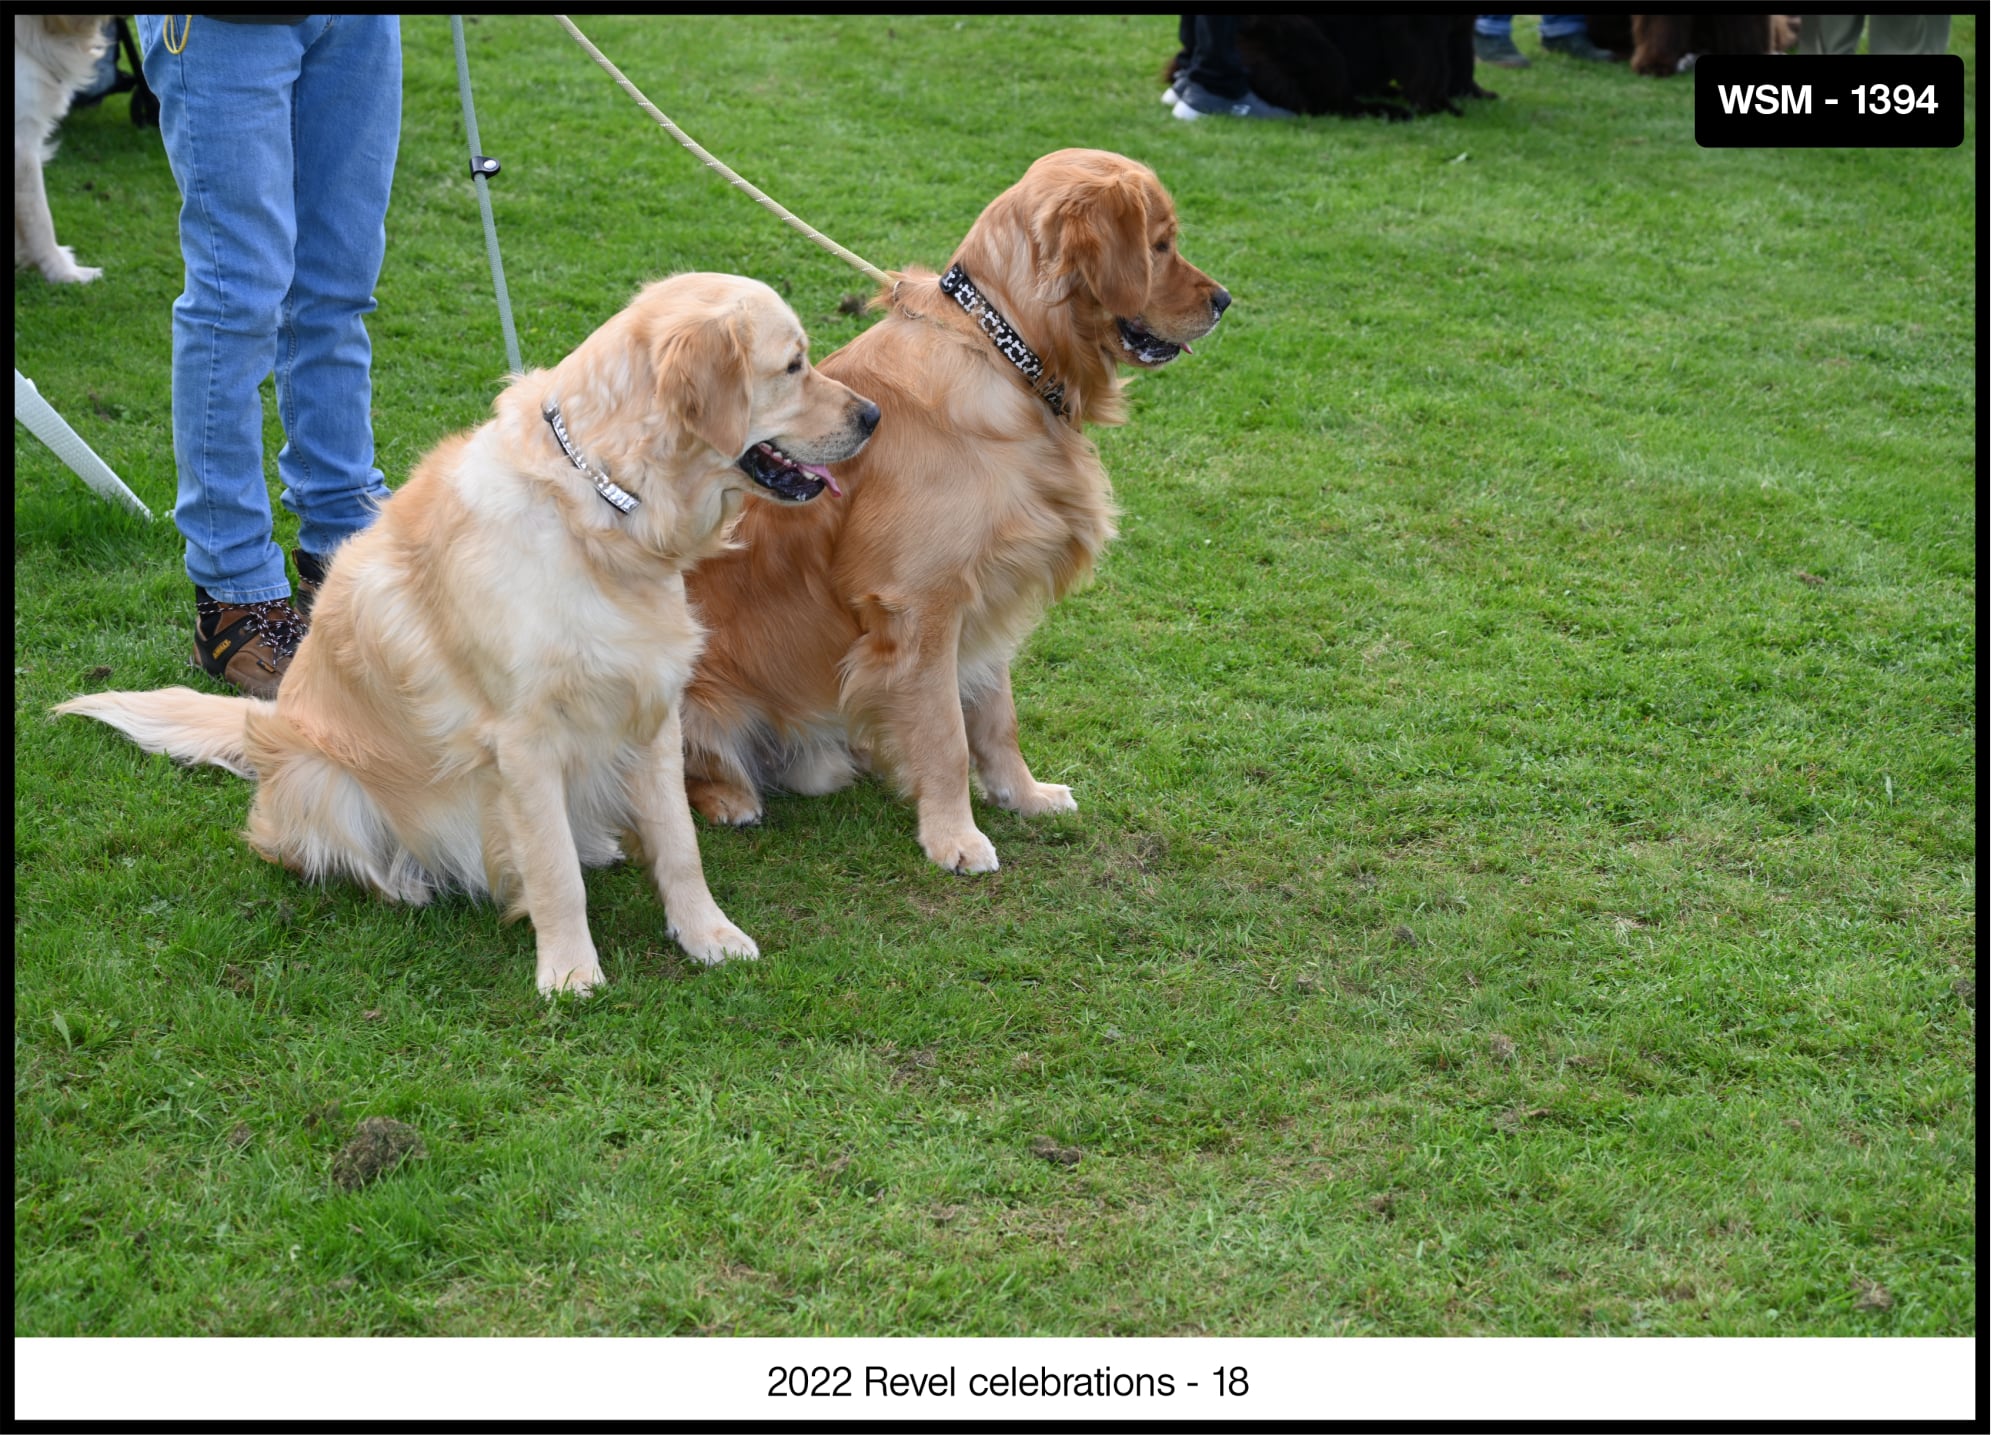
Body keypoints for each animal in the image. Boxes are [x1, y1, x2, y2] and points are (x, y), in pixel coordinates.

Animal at [680, 148, 1224, 875]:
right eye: (1160, 246)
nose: (1224, 300)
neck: (1004, 355)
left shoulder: (988, 597)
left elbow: (996, 718)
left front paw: (1023, 795)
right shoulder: (922, 604)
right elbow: (946, 735)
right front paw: (955, 836)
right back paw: (732, 797)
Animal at [1168, 15, 1496, 120]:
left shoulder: (1461, 24)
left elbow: (1463, 58)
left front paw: (1472, 93)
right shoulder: (1419, 27)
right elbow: (1433, 69)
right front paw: (1440, 106)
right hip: (1313, 43)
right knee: (1334, 102)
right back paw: (1387, 110)